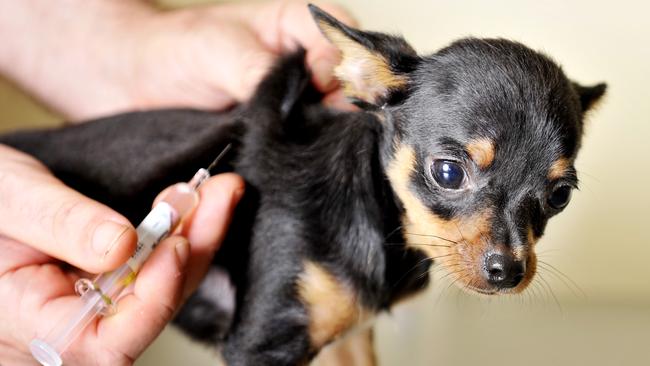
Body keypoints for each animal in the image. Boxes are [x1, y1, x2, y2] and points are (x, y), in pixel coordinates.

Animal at [2, 5, 604, 366]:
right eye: (449, 172)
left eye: (559, 196)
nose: (509, 271)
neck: (385, 232)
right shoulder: (264, 346)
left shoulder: (349, 338)